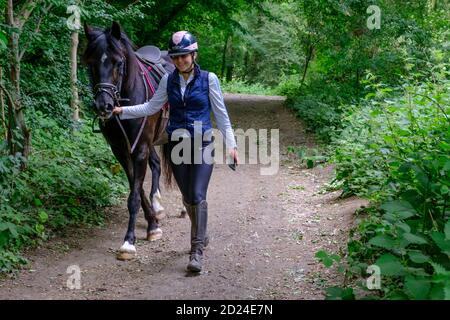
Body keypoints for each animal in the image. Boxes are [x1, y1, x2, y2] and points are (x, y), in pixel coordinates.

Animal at [82, 20, 174, 260]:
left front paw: (128, 242)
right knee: (156, 164)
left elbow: (134, 195)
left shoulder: (140, 148)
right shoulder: (121, 150)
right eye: (90, 63)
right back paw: (157, 206)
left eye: (119, 62)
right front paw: (152, 224)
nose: (103, 105)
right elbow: (136, 188)